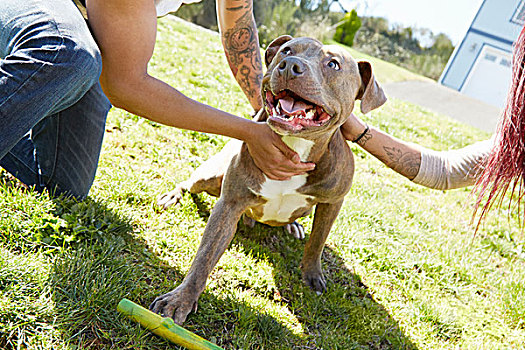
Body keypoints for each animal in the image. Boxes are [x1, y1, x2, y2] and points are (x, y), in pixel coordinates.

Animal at [148, 36, 384, 326]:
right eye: (286, 50)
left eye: (333, 64)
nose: (290, 65)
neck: (295, 146)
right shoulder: (229, 204)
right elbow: (205, 256)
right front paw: (180, 300)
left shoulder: (334, 202)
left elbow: (317, 241)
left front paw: (312, 275)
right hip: (210, 176)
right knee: (189, 183)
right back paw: (172, 196)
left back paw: (293, 225)